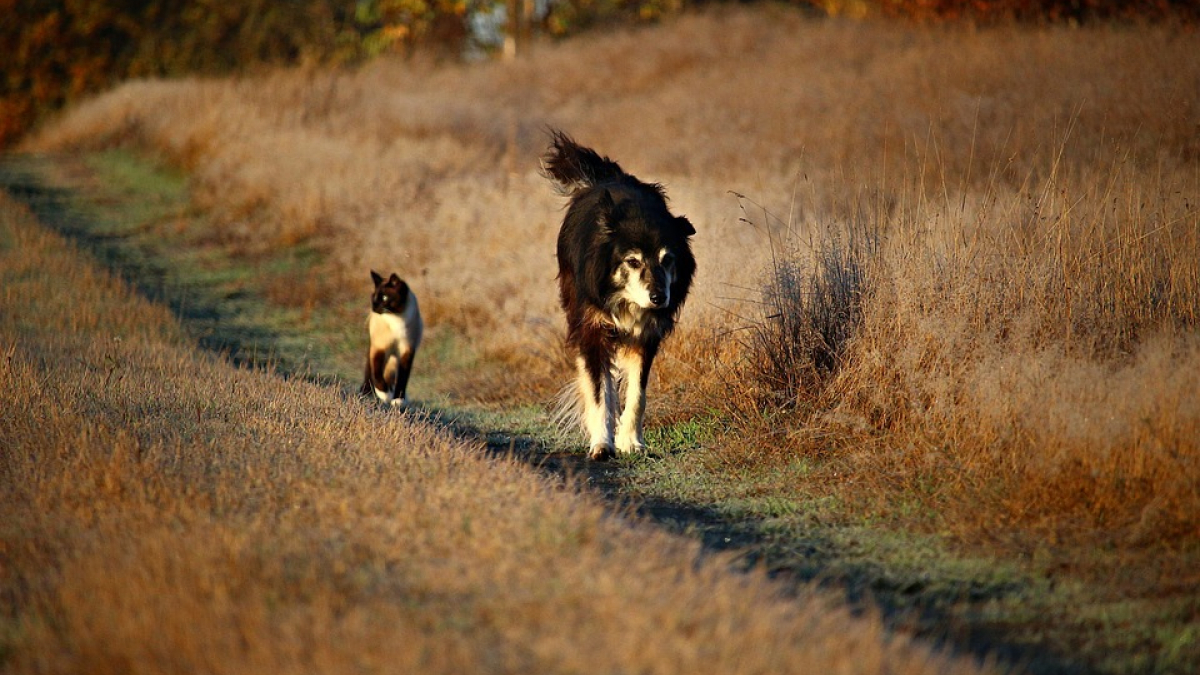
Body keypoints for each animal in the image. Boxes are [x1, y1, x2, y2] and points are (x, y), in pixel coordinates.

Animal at [360, 266, 422, 403]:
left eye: (384, 298)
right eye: (373, 298)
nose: (374, 308)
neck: (396, 318)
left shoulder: (407, 350)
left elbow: (403, 377)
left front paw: (398, 399)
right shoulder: (380, 348)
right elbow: (377, 374)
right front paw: (384, 394)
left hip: (394, 359)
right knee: (370, 372)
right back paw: (366, 394)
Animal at [542, 129, 700, 458]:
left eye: (668, 259)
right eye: (633, 261)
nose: (659, 298)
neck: (625, 301)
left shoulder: (646, 336)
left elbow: (638, 393)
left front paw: (632, 443)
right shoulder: (592, 327)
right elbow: (598, 391)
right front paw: (602, 445)